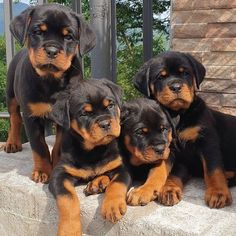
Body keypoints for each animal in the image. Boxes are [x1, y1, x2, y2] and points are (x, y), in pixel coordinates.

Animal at [4, 3, 95, 183]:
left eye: (68, 37)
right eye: (38, 32)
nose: (52, 50)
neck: (51, 80)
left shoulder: (67, 117)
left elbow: (59, 145)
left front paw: (58, 163)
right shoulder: (31, 116)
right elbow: (39, 147)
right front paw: (42, 171)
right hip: (10, 94)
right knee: (14, 118)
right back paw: (12, 142)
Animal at [48, 78, 132, 235]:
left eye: (110, 105)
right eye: (84, 114)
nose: (105, 123)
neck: (94, 150)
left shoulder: (122, 167)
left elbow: (117, 184)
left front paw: (112, 206)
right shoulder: (59, 174)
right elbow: (68, 199)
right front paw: (69, 229)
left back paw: (97, 183)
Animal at [134, 51, 235, 208]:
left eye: (186, 73)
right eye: (160, 77)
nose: (176, 87)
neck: (177, 115)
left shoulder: (208, 141)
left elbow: (213, 169)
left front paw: (218, 192)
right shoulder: (167, 148)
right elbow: (159, 170)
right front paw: (147, 189)